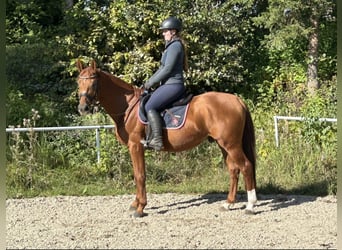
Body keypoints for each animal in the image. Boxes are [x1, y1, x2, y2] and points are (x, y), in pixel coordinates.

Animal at [75, 59, 256, 217]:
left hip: (231, 144)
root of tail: (237, 100)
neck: (128, 107)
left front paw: (140, 208)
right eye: (78, 83)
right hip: (223, 145)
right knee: (233, 169)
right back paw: (228, 203)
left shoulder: (136, 146)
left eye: (93, 83)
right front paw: (135, 203)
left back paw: (250, 206)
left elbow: (140, 175)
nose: (83, 108)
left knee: (246, 166)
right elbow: (137, 174)